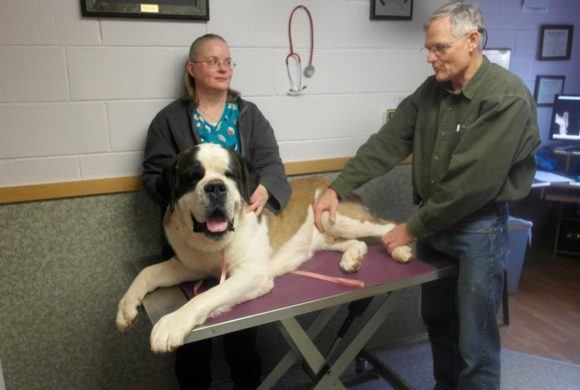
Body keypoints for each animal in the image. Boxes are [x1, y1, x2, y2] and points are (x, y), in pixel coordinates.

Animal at [115, 143, 412, 354]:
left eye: (230, 175)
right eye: (192, 177)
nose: (215, 187)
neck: (213, 245)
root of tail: (331, 184)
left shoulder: (250, 274)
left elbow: (207, 296)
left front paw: (172, 323)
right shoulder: (188, 264)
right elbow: (148, 272)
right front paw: (126, 308)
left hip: (337, 218)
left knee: (388, 226)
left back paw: (400, 249)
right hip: (326, 233)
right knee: (355, 242)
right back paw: (352, 259)